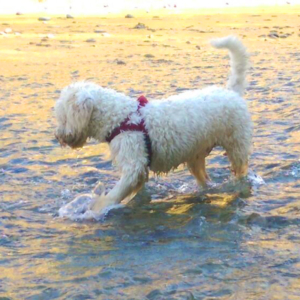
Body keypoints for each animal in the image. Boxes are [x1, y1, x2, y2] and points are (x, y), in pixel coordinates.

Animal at [55, 36, 252, 212]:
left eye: (63, 117)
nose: (58, 136)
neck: (120, 119)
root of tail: (231, 92)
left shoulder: (133, 164)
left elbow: (114, 194)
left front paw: (97, 208)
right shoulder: (140, 167)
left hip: (237, 145)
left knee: (241, 170)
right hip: (196, 156)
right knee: (204, 178)